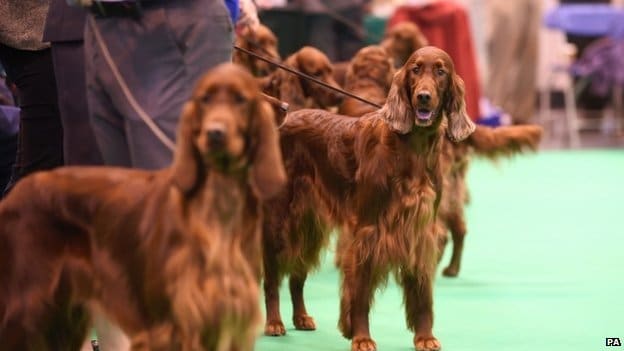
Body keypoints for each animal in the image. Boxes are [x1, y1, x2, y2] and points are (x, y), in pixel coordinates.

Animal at [0, 64, 286, 351]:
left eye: (241, 99)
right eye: (205, 99)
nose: (215, 133)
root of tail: (12, 197)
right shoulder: (168, 326)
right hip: (26, 309)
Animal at [262, 47, 472, 351]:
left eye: (440, 71)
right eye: (415, 69)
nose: (423, 96)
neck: (412, 148)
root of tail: (286, 119)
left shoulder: (420, 232)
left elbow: (422, 293)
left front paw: (425, 337)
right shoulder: (368, 231)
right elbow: (359, 292)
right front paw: (361, 337)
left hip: (310, 223)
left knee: (297, 274)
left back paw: (301, 317)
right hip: (278, 220)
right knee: (271, 276)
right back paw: (274, 322)